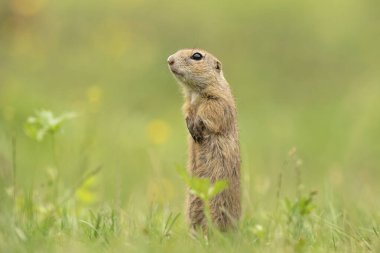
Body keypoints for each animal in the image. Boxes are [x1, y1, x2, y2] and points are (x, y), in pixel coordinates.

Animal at [166, 48, 240, 231]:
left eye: (197, 56)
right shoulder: (187, 103)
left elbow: (212, 110)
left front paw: (198, 126)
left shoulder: (218, 99)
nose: (169, 60)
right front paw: (191, 126)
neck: (194, 93)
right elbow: (187, 111)